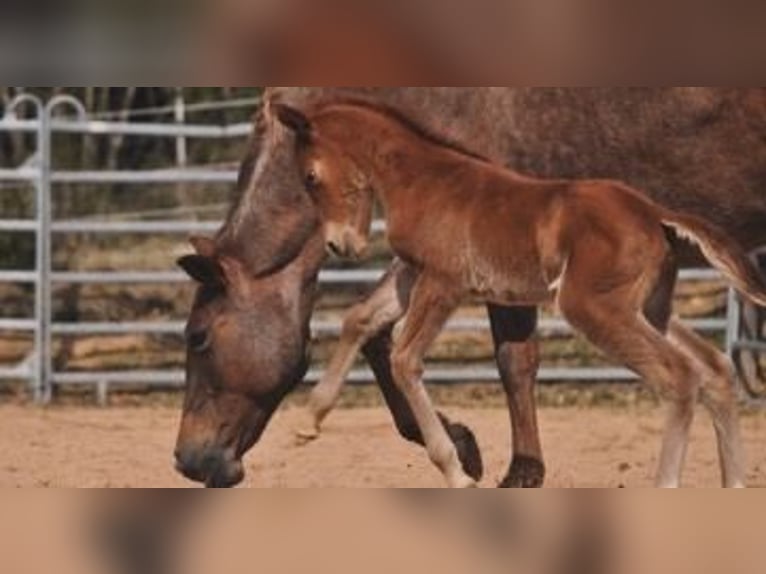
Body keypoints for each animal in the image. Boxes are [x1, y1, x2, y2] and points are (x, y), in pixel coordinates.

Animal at [176, 88, 766, 488]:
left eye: (199, 336)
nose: (190, 462)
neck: (424, 174)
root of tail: (656, 214)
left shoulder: (446, 282)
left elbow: (430, 359)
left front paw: (470, 466)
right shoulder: (415, 273)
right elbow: (362, 320)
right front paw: (311, 422)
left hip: (595, 309)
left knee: (680, 377)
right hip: (653, 309)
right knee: (714, 369)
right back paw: (733, 482)